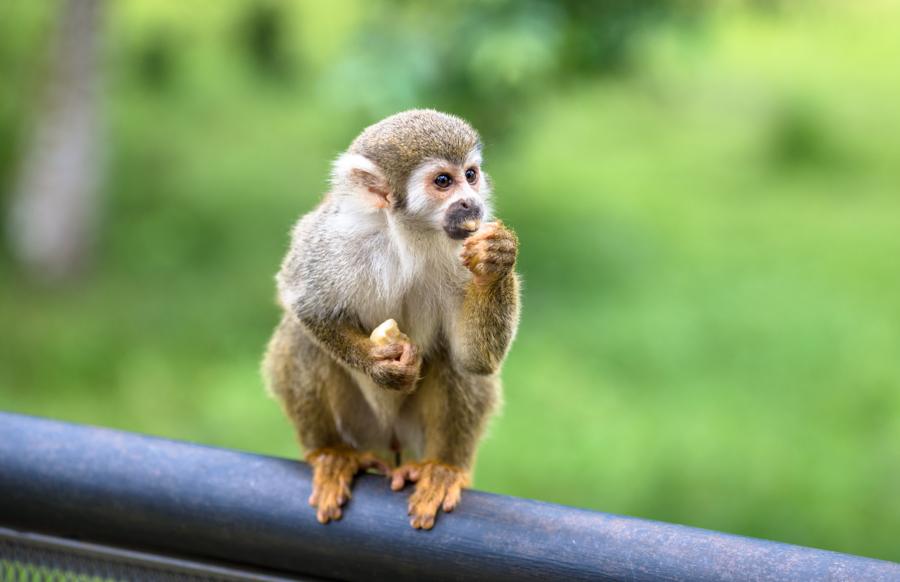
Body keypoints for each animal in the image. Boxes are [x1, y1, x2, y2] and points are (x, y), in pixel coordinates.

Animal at [262, 110, 520, 532]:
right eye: (443, 181)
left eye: (471, 174)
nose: (471, 203)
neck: (406, 236)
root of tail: (390, 442)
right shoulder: (332, 240)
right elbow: (303, 303)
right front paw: (379, 366)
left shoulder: (460, 250)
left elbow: (475, 359)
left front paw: (496, 260)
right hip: (359, 423)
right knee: (301, 338)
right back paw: (330, 453)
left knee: (452, 360)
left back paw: (443, 467)